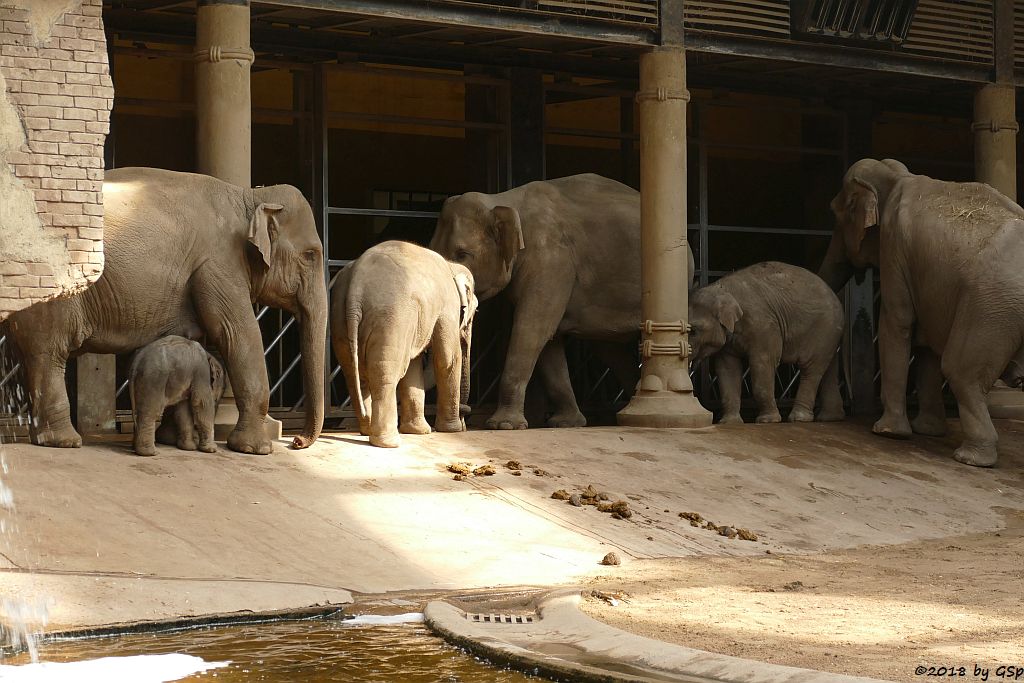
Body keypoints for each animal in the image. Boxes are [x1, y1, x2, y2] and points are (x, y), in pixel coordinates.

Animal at [1, 167, 327, 454]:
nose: (297, 442)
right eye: (310, 255)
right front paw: (255, 449)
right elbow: (237, 333)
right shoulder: (219, 265)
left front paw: (172, 440)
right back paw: (64, 442)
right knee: (50, 352)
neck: (249, 195)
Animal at [331, 240, 479, 448]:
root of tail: (355, 284)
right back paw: (389, 442)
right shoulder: (447, 306)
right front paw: (452, 430)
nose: (465, 418)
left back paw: (367, 429)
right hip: (391, 317)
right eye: (472, 314)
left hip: (340, 318)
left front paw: (419, 432)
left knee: (354, 374)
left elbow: (414, 365)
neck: (452, 265)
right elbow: (448, 359)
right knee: (385, 373)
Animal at [428, 176, 700, 432]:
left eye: (463, 255)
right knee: (608, 349)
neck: (504, 200)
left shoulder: (552, 260)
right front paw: (566, 423)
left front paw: (503, 425)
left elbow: (531, 329)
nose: (466, 414)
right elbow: (548, 341)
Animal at [684, 264, 843, 423]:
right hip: (830, 334)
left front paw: (767, 420)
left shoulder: (763, 325)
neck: (721, 288)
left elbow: (763, 362)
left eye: (693, 331)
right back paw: (829, 418)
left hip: (823, 329)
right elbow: (727, 369)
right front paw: (729, 422)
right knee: (828, 371)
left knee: (811, 370)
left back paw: (799, 418)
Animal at [823, 156, 1024, 464]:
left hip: (992, 306)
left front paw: (888, 432)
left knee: (960, 370)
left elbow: (897, 321)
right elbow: (926, 340)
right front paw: (928, 431)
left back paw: (969, 458)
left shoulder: (894, 248)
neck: (897, 176)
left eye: (836, 213)